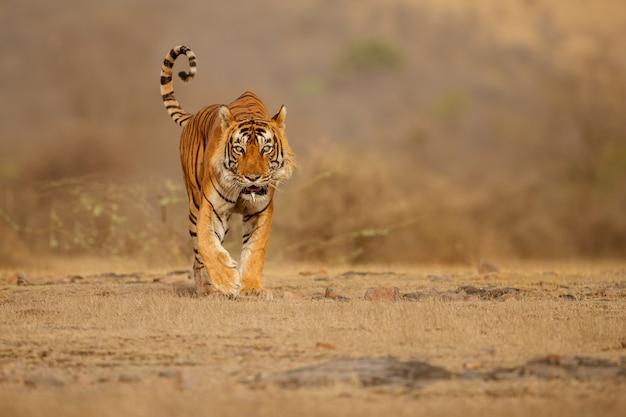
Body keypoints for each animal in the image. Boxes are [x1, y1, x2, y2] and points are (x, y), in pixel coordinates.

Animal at [161, 45, 298, 298]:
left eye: (265, 149)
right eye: (239, 149)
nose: (253, 177)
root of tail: (193, 116)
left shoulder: (261, 210)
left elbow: (255, 250)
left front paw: (251, 288)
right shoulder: (210, 207)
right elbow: (207, 244)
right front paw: (227, 280)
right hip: (194, 204)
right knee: (198, 253)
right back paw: (206, 288)